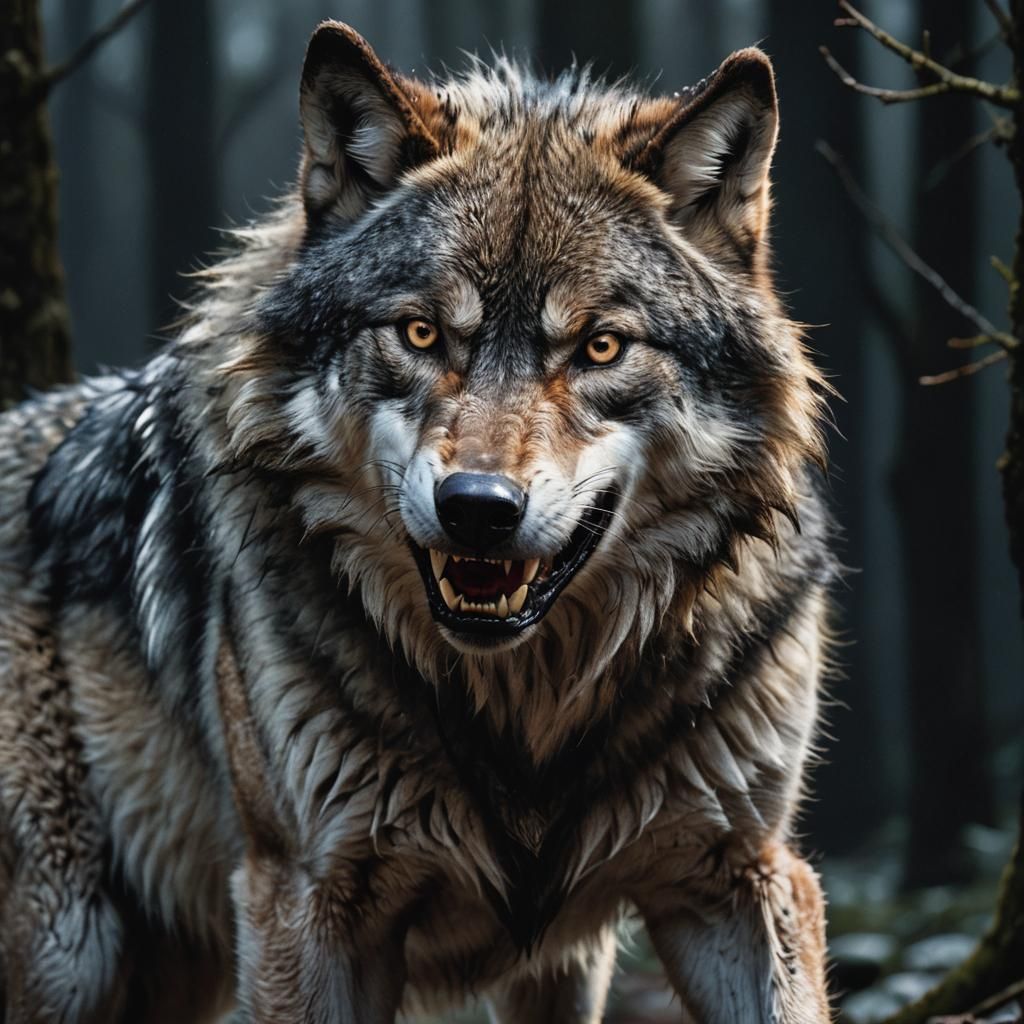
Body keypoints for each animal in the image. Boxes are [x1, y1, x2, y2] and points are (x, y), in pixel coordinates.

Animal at [0, 20, 836, 1024]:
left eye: (600, 347)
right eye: (422, 334)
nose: (477, 509)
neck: (526, 717)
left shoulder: (740, 876)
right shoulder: (307, 903)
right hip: (71, 951)